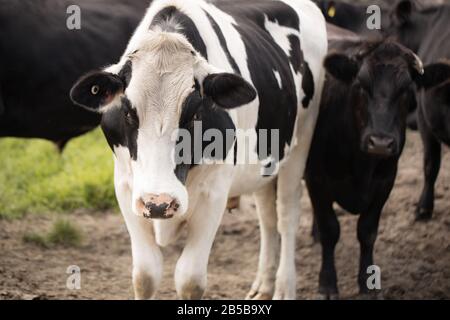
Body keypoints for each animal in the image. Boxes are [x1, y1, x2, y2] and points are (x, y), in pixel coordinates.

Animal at [72, 0, 328, 300]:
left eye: (195, 114)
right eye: (127, 112)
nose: (159, 203)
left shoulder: (213, 194)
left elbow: (190, 279)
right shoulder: (126, 187)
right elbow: (145, 275)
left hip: (301, 143)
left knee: (287, 214)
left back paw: (283, 287)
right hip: (265, 162)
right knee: (267, 217)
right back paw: (263, 287)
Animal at [304, 26, 424, 298]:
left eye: (405, 89)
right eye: (360, 84)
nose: (379, 142)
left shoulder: (386, 180)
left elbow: (367, 231)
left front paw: (367, 283)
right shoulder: (316, 178)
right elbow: (330, 230)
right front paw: (327, 283)